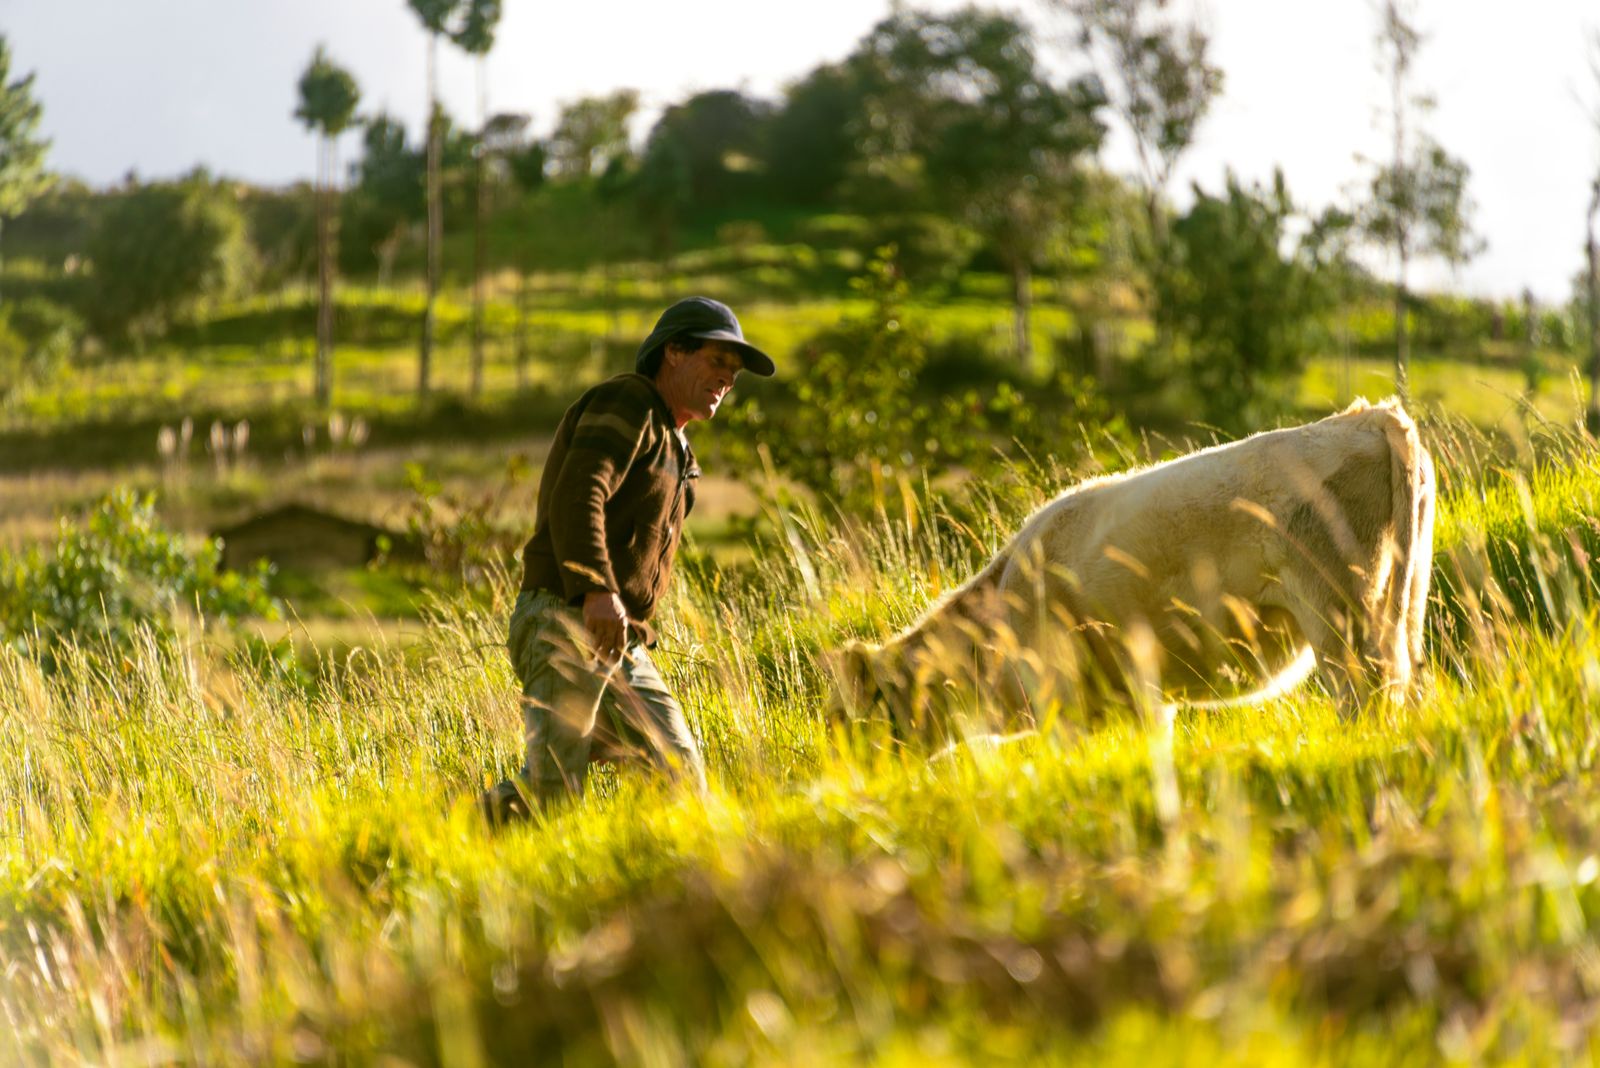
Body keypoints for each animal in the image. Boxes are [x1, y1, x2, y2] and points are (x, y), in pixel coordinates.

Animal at [838, 396, 1440, 738]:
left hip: (1341, 611)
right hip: (1403, 602)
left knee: (1366, 693)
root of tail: (1370, 415)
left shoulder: (1060, 696)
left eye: (867, 706)